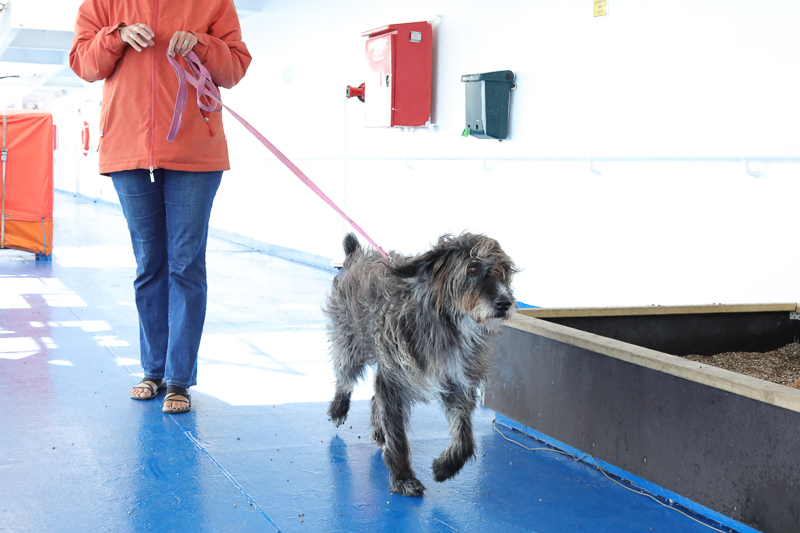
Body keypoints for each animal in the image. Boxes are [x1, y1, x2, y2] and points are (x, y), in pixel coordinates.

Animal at [324, 232, 520, 494]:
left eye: (503, 271)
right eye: (472, 269)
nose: (505, 303)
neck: (449, 322)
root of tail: (356, 255)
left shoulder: (455, 381)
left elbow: (465, 437)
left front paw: (446, 467)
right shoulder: (396, 378)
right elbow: (398, 436)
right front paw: (403, 478)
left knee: (376, 398)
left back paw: (379, 431)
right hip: (352, 343)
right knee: (345, 378)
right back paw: (338, 409)